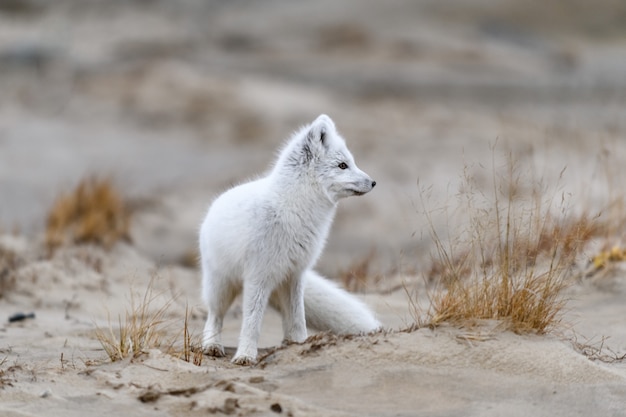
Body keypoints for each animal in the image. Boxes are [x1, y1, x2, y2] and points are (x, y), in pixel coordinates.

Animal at [200, 114, 378, 364]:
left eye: (351, 162)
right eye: (343, 165)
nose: (373, 182)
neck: (294, 209)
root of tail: (214, 204)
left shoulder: (295, 273)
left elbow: (297, 318)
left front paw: (301, 344)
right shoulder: (258, 276)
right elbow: (252, 322)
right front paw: (245, 355)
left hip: (279, 281)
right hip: (221, 285)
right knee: (214, 316)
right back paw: (212, 345)